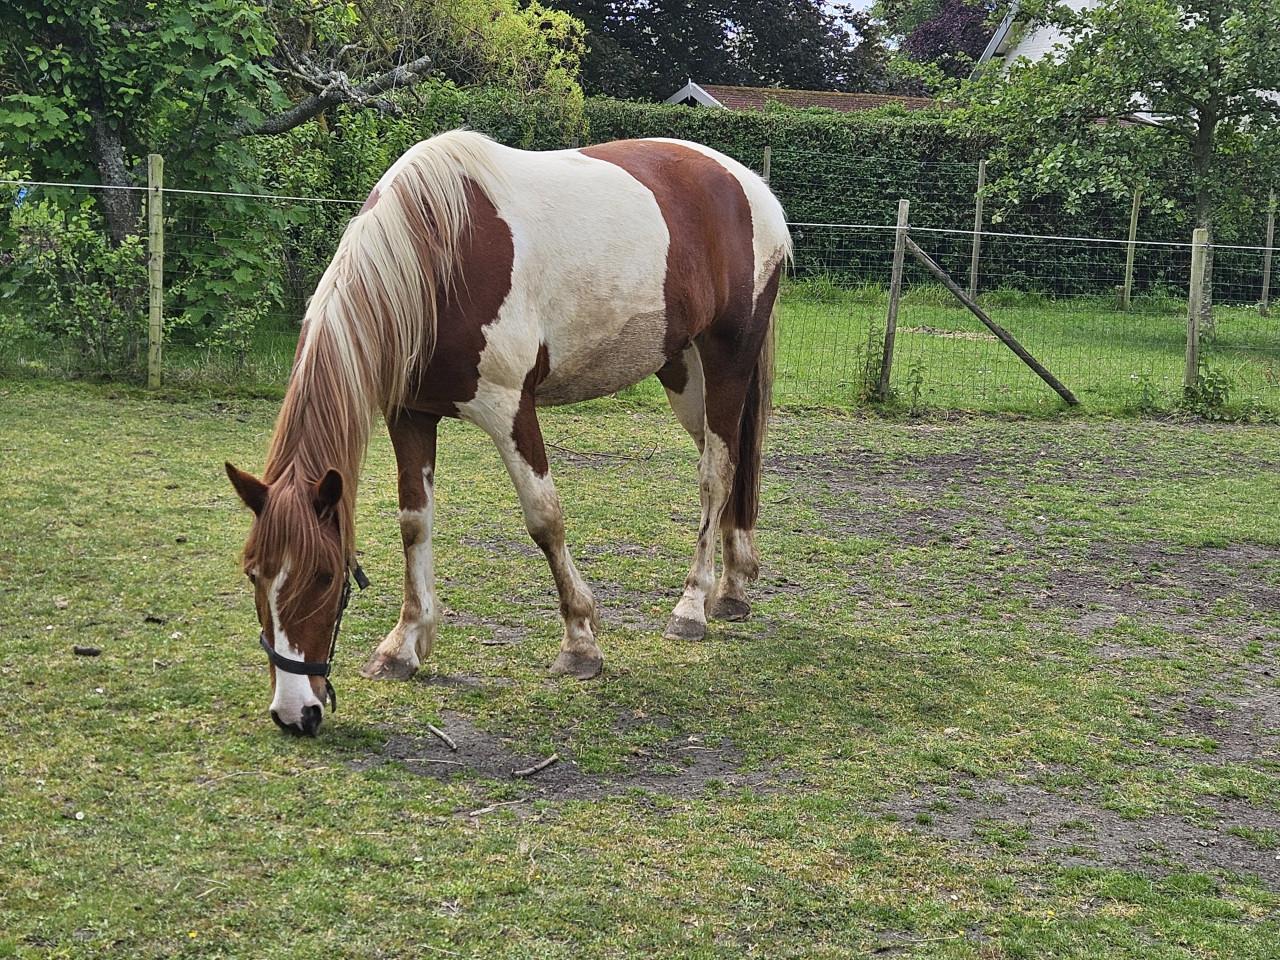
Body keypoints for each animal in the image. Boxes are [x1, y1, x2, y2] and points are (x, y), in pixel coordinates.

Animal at [225, 130, 791, 735]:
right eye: (253, 574)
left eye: (326, 576)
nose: (294, 713)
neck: (436, 257)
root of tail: (747, 183)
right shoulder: (409, 414)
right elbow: (413, 522)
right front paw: (404, 645)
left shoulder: (510, 408)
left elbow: (545, 520)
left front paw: (580, 643)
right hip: (685, 375)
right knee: (728, 463)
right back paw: (732, 588)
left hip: (727, 359)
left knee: (716, 473)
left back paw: (692, 606)